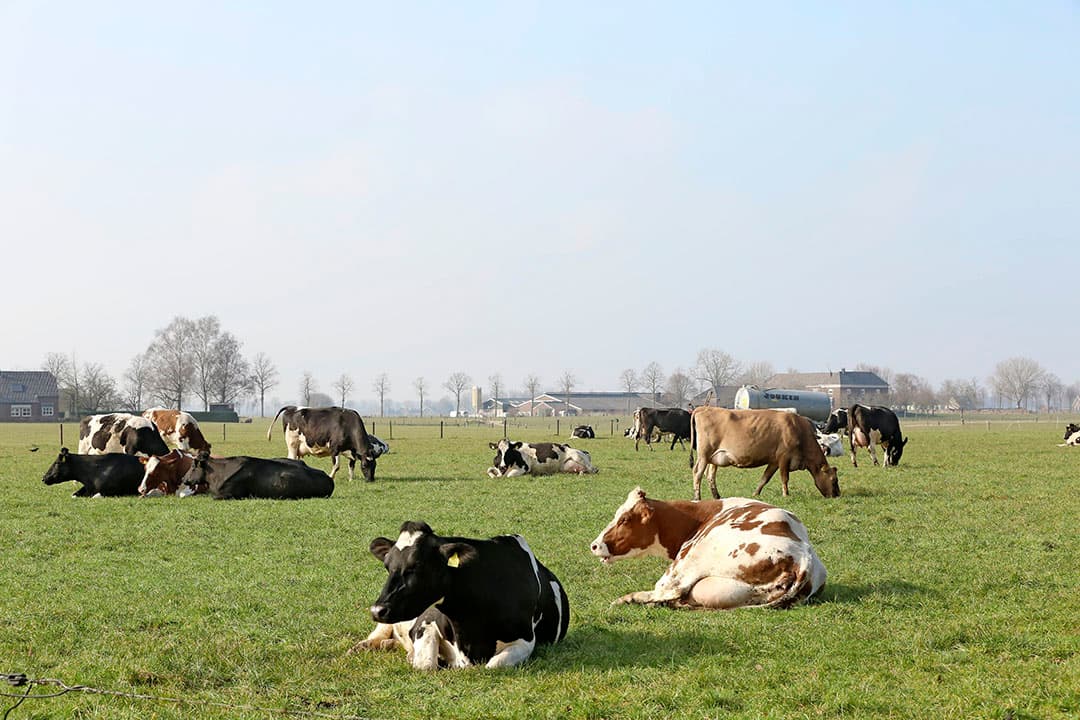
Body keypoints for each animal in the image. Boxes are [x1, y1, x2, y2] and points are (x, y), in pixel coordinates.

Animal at [356, 520, 569, 669]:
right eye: (387, 566)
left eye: (417, 566)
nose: (377, 610)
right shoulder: (425, 621)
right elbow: (426, 664)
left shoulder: (526, 639)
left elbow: (494, 665)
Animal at [590, 487, 826, 609]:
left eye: (624, 519)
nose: (594, 545)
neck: (696, 517)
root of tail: (805, 558)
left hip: (693, 557)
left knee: (667, 591)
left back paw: (625, 599)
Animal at [689, 407, 840, 500]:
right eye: (834, 480)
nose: (837, 495)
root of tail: (703, 408)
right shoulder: (784, 458)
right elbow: (784, 478)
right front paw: (786, 494)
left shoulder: (774, 461)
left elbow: (765, 478)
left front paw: (755, 494)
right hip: (703, 455)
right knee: (697, 473)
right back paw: (697, 498)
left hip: (713, 458)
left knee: (710, 476)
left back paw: (717, 497)